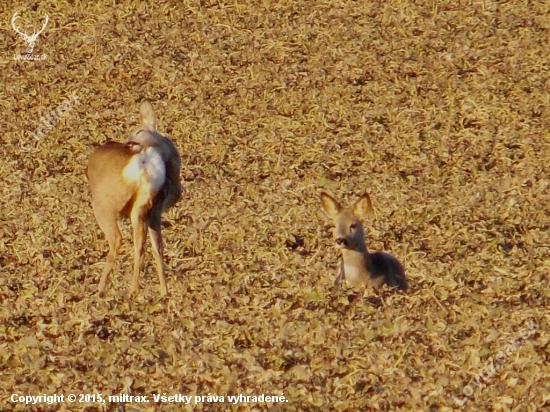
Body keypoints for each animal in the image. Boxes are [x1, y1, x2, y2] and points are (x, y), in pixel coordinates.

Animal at [87, 102, 183, 296]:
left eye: (138, 131)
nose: (129, 142)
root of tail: (144, 162)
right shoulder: (156, 213)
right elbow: (157, 247)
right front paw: (164, 290)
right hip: (143, 208)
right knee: (143, 244)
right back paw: (145, 290)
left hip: (104, 206)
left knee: (117, 239)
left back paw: (102, 290)